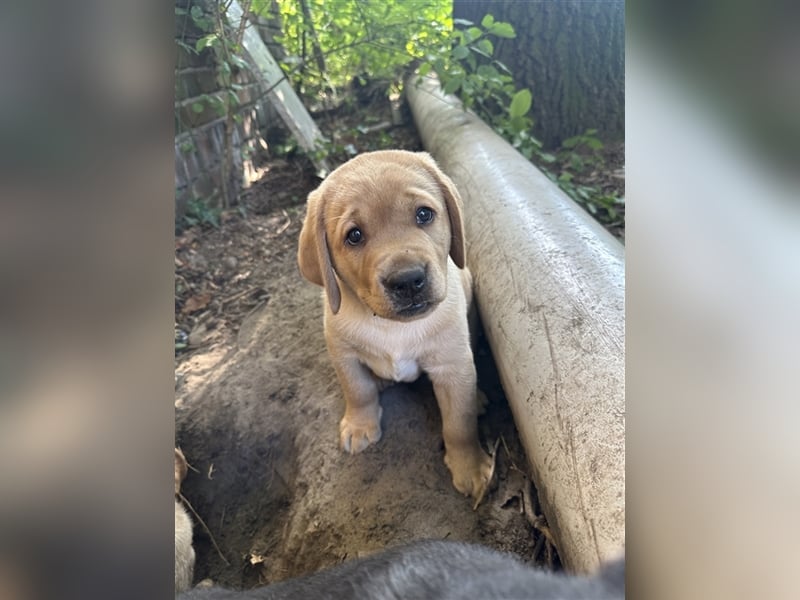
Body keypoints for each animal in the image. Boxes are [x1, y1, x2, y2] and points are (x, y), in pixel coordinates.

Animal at [296, 149, 490, 502]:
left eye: (424, 214)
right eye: (354, 235)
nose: (408, 280)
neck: (393, 326)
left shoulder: (451, 365)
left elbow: (459, 423)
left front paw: (469, 467)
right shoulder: (343, 354)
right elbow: (357, 390)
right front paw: (360, 426)